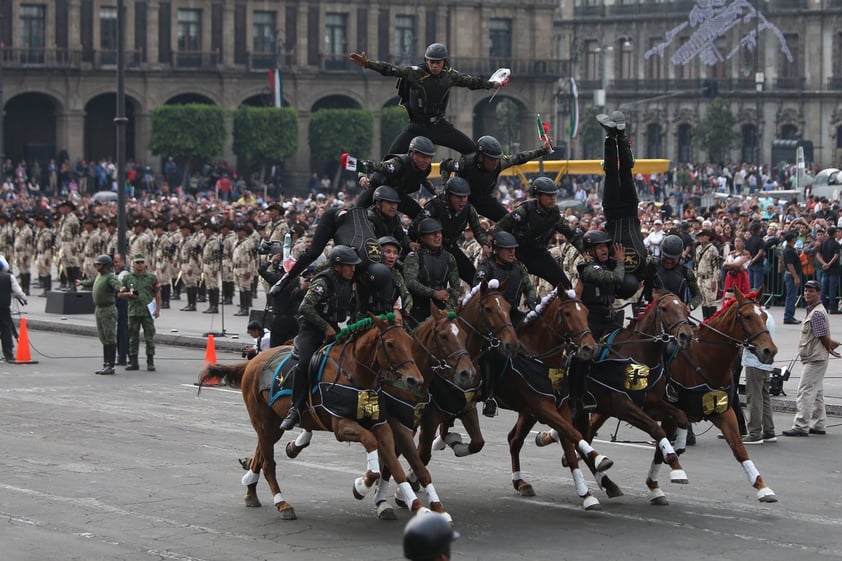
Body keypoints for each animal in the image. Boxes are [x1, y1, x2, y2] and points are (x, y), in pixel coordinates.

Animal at [199, 312, 426, 520]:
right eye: (390, 344)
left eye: (409, 342)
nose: (415, 380)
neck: (354, 372)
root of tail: (253, 361)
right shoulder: (341, 426)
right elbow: (371, 446)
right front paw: (362, 485)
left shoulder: (380, 424)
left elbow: (394, 464)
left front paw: (416, 506)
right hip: (263, 423)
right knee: (268, 464)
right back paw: (282, 503)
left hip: (272, 425)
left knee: (261, 455)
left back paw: (251, 493)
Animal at [536, 288, 692, 498]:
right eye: (665, 308)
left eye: (684, 307)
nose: (686, 335)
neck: (639, 355)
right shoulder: (623, 407)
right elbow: (657, 429)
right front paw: (674, 463)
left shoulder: (651, 404)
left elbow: (680, 415)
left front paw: (679, 447)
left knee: (582, 437)